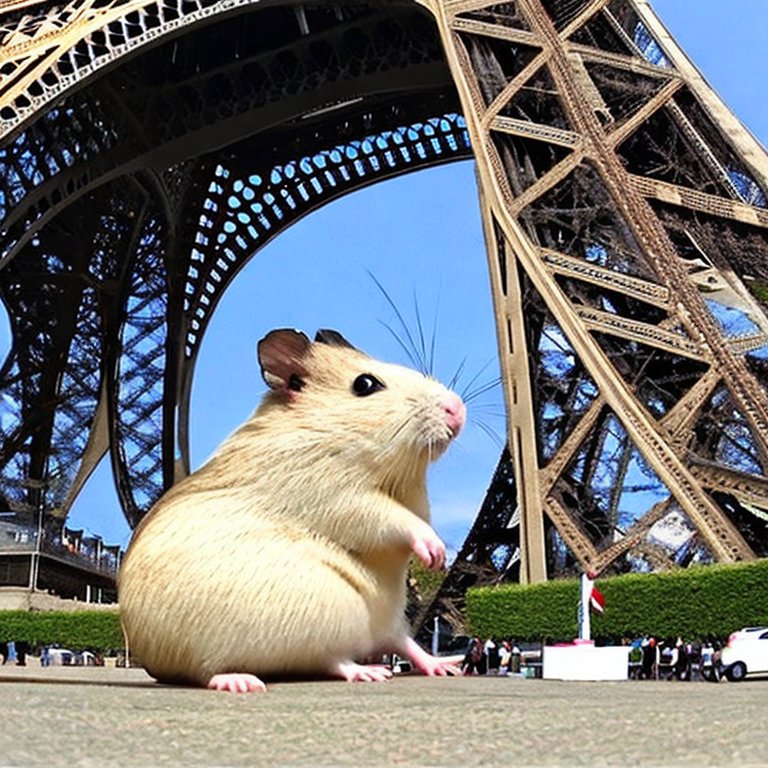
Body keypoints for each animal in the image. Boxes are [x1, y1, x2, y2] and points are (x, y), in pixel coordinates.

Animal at [118, 328, 466, 692]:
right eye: (365, 384)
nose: (457, 409)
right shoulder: (339, 497)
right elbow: (396, 520)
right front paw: (435, 553)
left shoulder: (413, 500)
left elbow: (415, 520)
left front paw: (437, 561)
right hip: (326, 615)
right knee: (326, 660)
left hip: (385, 620)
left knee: (400, 644)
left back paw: (440, 665)